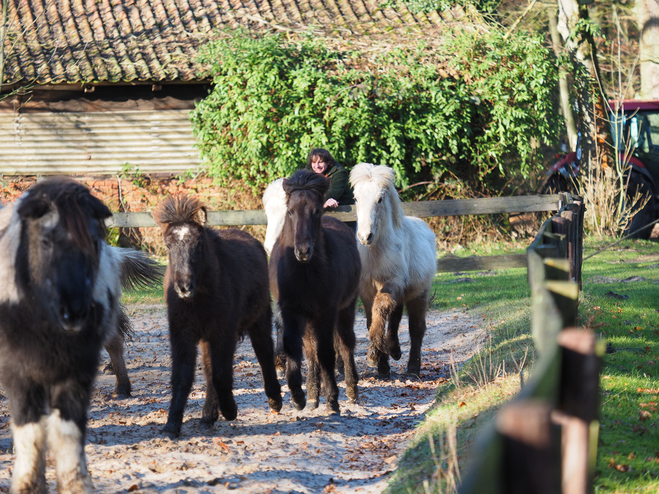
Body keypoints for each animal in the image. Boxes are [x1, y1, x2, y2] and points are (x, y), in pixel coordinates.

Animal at [0, 178, 149, 494]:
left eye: (93, 242)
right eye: (44, 242)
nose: (75, 311)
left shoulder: (76, 369)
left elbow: (68, 430)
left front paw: (76, 485)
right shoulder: (18, 371)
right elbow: (29, 429)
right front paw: (28, 483)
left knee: (114, 344)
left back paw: (122, 387)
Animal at [155, 193, 284, 436]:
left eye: (198, 243)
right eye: (168, 245)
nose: (184, 287)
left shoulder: (224, 332)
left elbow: (221, 373)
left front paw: (230, 410)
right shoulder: (183, 334)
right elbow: (183, 375)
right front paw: (172, 424)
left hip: (258, 319)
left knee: (264, 353)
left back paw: (274, 400)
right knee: (209, 369)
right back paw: (208, 415)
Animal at [268, 170, 360, 412]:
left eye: (316, 211)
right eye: (290, 211)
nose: (303, 251)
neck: (305, 273)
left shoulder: (326, 312)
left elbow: (327, 352)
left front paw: (333, 399)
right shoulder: (291, 311)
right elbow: (295, 347)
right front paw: (299, 396)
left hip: (345, 308)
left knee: (345, 343)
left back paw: (351, 389)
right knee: (310, 351)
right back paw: (312, 393)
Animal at [350, 164, 438, 376]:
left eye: (380, 199)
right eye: (356, 197)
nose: (365, 236)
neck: (376, 252)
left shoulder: (393, 283)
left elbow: (380, 309)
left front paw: (374, 353)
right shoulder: (366, 290)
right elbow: (373, 319)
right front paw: (382, 364)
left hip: (419, 294)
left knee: (416, 329)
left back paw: (413, 368)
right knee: (395, 319)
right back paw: (394, 350)